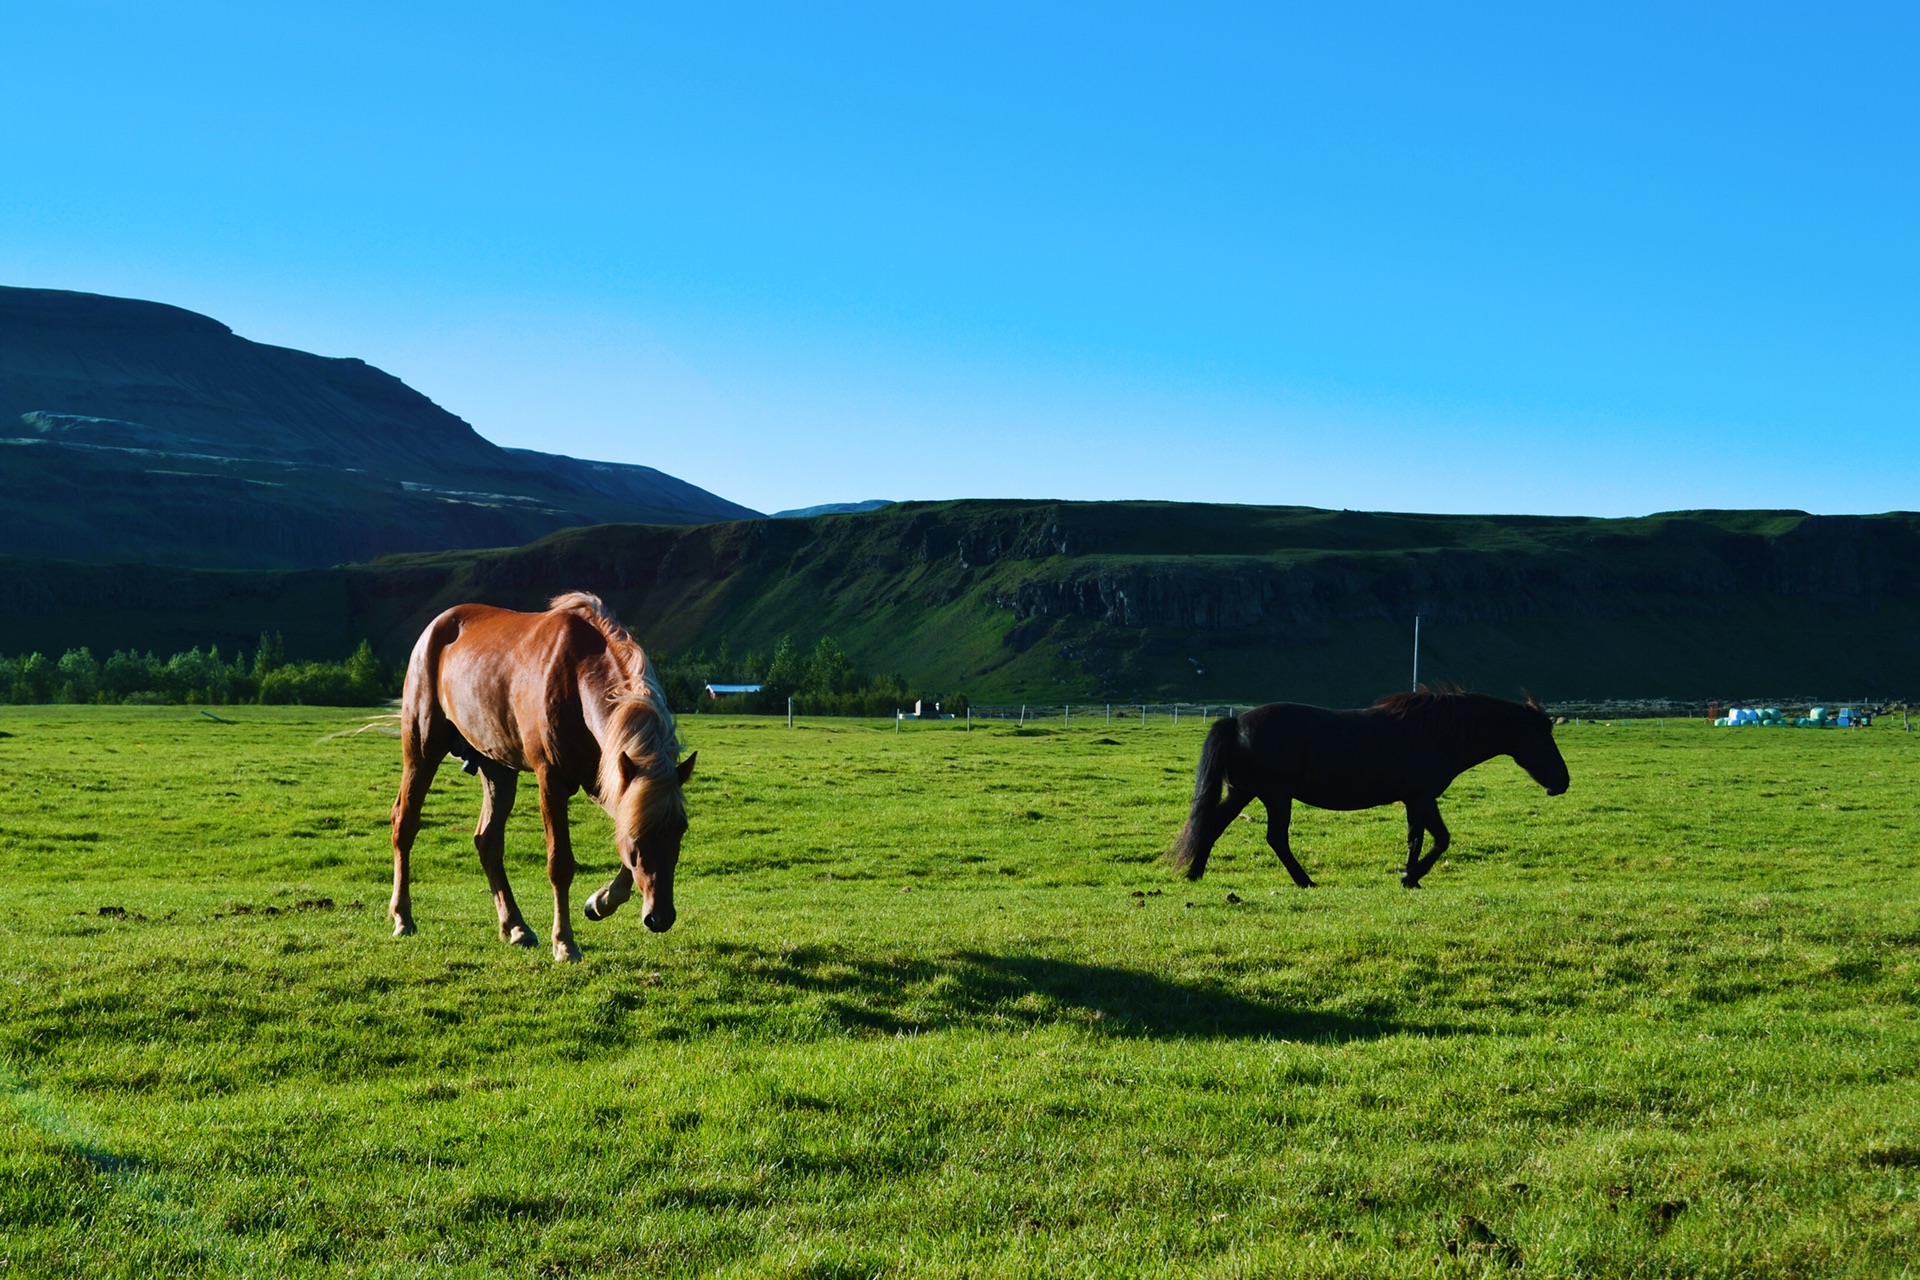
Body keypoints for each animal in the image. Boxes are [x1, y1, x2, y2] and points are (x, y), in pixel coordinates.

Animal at [385, 594, 695, 959]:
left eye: (680, 829)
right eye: (639, 836)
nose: (660, 917)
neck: (577, 675)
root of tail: (435, 629)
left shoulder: (606, 781)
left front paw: (601, 902)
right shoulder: (552, 781)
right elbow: (560, 865)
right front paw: (564, 943)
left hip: (497, 769)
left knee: (488, 841)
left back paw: (515, 926)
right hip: (422, 750)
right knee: (405, 824)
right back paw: (403, 917)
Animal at [1167, 690, 1559, 890]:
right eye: (1543, 736)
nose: (1562, 781)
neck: (1433, 733)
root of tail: (1236, 722)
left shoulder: (1414, 800)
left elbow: (1415, 837)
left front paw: (1409, 878)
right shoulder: (1422, 797)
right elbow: (1440, 838)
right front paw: (1412, 876)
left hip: (1243, 792)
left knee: (1212, 826)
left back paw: (1195, 873)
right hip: (1275, 795)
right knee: (1276, 838)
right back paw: (1304, 880)